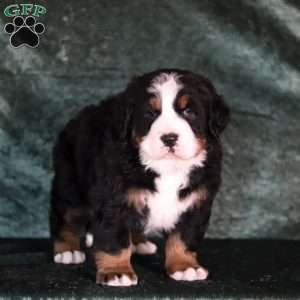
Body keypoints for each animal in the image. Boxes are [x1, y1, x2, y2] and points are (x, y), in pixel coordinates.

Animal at [50, 68, 231, 286]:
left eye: (189, 112)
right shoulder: (114, 200)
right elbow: (115, 240)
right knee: (65, 217)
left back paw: (139, 242)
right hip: (70, 185)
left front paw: (185, 266)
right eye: (150, 114)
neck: (168, 167)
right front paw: (117, 272)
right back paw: (68, 250)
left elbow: (184, 237)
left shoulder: (195, 201)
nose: (169, 138)